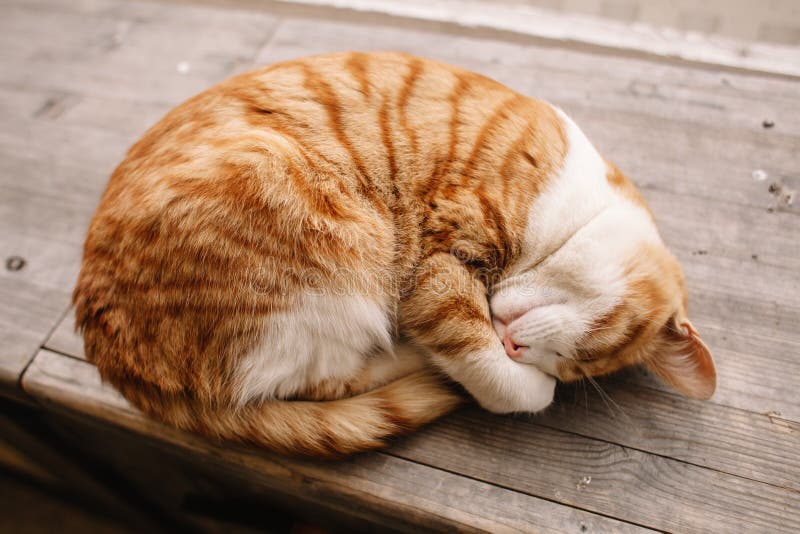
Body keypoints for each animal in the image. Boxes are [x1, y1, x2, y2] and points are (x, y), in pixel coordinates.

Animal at [72, 52, 716, 458]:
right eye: (583, 356)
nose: (516, 346)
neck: (574, 203)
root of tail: (105, 346)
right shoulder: (438, 267)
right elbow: (505, 385)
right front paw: (516, 378)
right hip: (332, 259)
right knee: (329, 378)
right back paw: (414, 358)